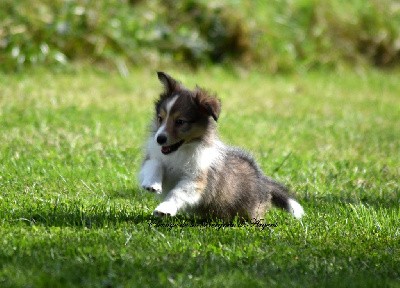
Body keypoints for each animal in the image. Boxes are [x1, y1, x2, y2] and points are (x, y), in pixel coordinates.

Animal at [139, 72, 304, 220]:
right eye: (160, 118)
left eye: (180, 122)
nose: (159, 139)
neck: (181, 151)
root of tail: (262, 179)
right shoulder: (156, 157)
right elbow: (155, 164)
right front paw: (152, 184)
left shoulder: (196, 179)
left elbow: (177, 193)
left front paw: (164, 209)